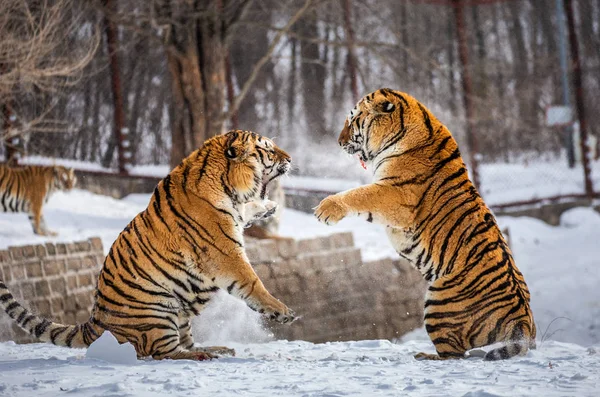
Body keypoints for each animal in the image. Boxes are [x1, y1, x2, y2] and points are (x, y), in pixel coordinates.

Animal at [0, 131, 296, 360]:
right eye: (268, 149)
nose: (291, 158)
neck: (227, 186)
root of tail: (95, 322)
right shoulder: (225, 253)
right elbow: (253, 283)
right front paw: (283, 312)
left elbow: (249, 211)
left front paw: (268, 206)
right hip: (158, 311)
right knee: (160, 351)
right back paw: (202, 355)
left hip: (179, 313)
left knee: (183, 342)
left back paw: (216, 348)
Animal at [316, 88, 536, 360]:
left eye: (353, 119)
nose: (338, 141)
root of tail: (523, 320)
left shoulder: (394, 194)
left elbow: (360, 194)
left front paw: (326, 209)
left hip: (438, 300)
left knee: (453, 354)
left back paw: (424, 355)